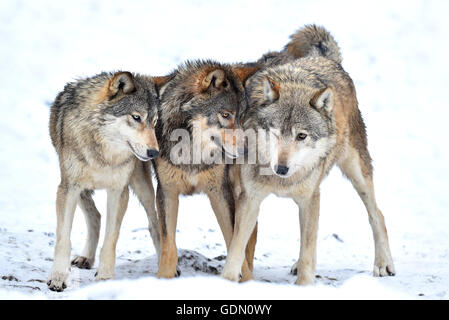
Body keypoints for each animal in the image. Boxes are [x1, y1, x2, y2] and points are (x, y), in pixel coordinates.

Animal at [46, 71, 170, 292]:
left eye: (154, 121)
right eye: (136, 117)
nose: (154, 152)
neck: (104, 155)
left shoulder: (119, 191)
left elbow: (111, 239)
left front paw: (104, 277)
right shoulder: (68, 188)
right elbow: (63, 238)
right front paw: (58, 278)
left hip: (142, 187)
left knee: (154, 223)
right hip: (79, 190)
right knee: (95, 216)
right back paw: (86, 257)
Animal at [153, 60, 258, 280]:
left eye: (241, 117)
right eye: (225, 115)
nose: (246, 151)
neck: (192, 153)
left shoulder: (220, 192)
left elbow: (234, 240)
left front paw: (244, 279)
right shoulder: (167, 191)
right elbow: (169, 245)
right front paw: (164, 277)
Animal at [222, 25, 394, 284]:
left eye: (301, 136)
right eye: (275, 132)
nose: (281, 168)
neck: (281, 181)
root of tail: (326, 59)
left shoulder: (310, 198)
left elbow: (308, 249)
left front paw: (304, 285)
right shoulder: (250, 199)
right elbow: (236, 248)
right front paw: (227, 281)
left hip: (356, 172)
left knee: (378, 214)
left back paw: (384, 263)